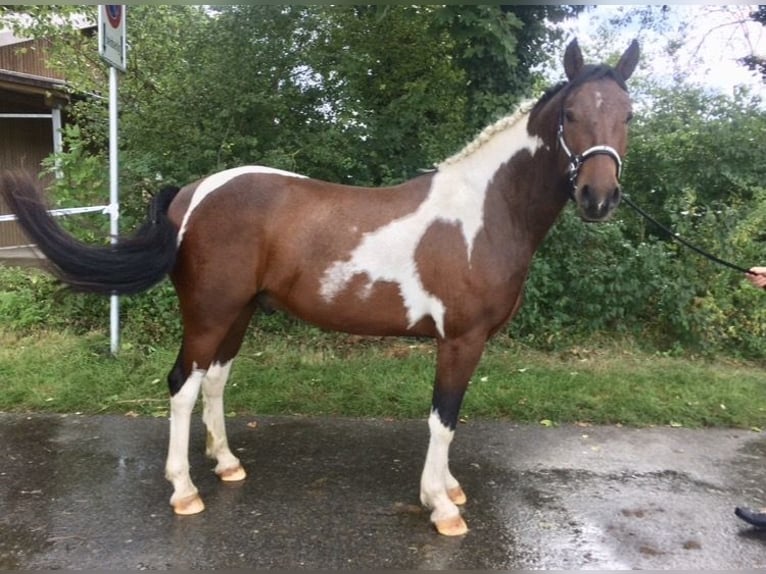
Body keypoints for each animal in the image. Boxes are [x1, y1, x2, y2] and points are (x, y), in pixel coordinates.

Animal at [0, 38, 639, 536]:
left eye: (628, 115)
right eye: (572, 113)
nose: (599, 197)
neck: (482, 212)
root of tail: (193, 194)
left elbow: (448, 421)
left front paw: (449, 489)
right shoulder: (460, 339)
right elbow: (444, 418)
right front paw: (440, 506)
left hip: (238, 313)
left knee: (215, 382)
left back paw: (227, 463)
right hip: (209, 312)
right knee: (183, 385)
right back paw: (184, 491)